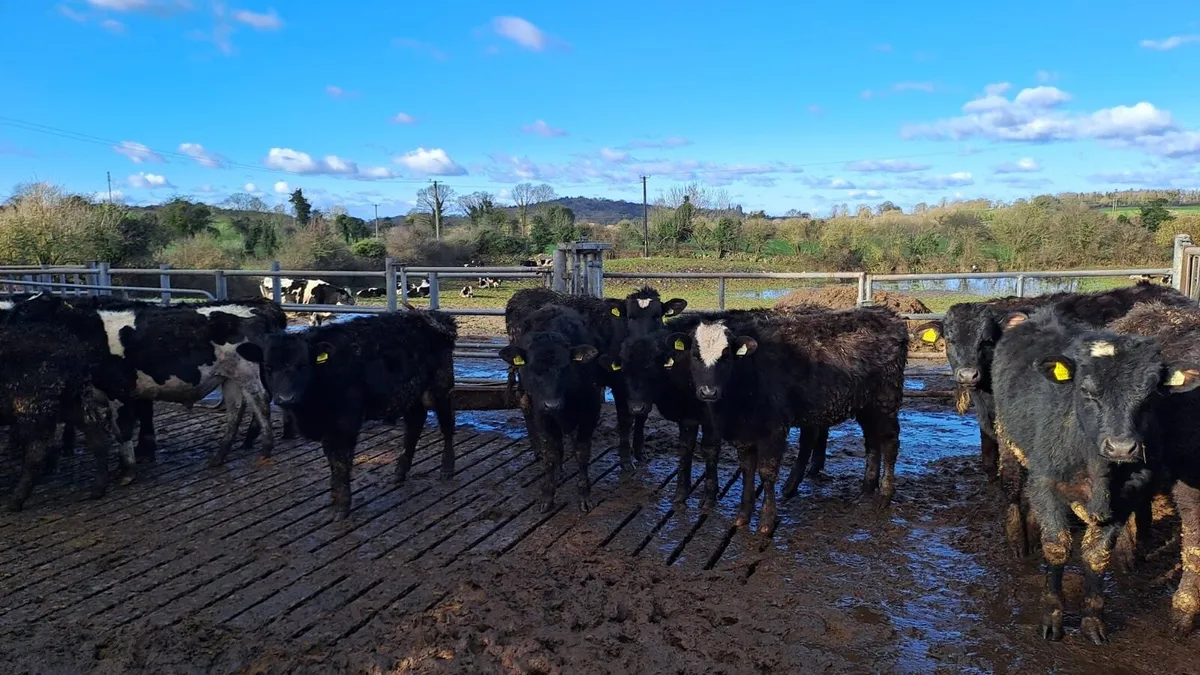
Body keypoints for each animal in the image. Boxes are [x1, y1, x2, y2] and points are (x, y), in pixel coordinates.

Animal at [236, 310, 458, 519]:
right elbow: (331, 458)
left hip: (441, 387)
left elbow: (341, 459)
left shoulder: (346, 420)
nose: (285, 398)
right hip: (412, 394)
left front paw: (342, 505)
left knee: (447, 424)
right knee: (414, 426)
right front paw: (335, 498)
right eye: (268, 367)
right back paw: (400, 471)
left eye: (302, 365)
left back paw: (447, 468)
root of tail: (434, 316)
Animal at [500, 305, 603, 512]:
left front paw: (584, 495)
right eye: (533, 369)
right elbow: (550, 453)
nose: (552, 404)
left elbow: (581, 452)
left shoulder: (591, 411)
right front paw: (547, 495)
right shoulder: (542, 415)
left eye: (565, 367)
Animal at [670, 306, 908, 533]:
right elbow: (747, 469)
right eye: (695, 355)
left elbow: (767, 472)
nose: (708, 391)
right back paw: (866, 489)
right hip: (866, 406)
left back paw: (884, 495)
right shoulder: (744, 432)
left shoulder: (774, 429)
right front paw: (743, 515)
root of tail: (888, 316)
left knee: (889, 443)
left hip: (885, 401)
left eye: (726, 354)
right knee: (872, 441)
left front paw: (766, 521)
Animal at [991, 306, 1199, 644]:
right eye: (1087, 391)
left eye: (1150, 395)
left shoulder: (1124, 499)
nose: (1121, 446)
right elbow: (1057, 547)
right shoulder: (1047, 484)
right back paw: (1017, 540)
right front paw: (1052, 615)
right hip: (1007, 439)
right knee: (1011, 486)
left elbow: (1097, 555)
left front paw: (1092, 619)